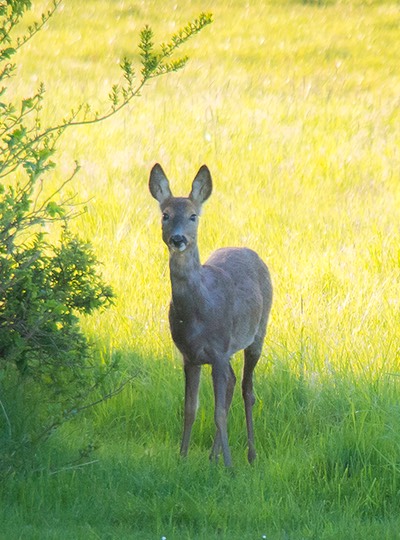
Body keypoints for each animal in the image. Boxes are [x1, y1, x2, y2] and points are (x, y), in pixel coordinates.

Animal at [148, 162, 274, 466]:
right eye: (165, 215)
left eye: (193, 216)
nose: (178, 239)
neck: (197, 313)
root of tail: (250, 251)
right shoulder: (190, 356)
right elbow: (190, 409)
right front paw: (182, 459)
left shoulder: (217, 350)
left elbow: (217, 412)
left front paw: (230, 467)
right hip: (228, 352)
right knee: (232, 384)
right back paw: (213, 456)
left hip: (258, 333)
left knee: (247, 389)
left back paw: (250, 455)